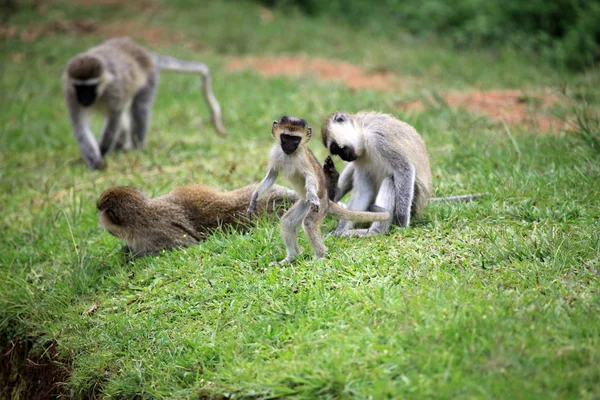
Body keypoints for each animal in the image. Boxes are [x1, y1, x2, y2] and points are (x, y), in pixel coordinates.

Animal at [63, 36, 227, 170]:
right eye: (79, 87)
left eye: (91, 87)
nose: (84, 99)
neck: (100, 94)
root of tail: (147, 54)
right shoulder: (71, 94)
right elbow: (80, 126)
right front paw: (94, 160)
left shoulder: (115, 90)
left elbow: (114, 118)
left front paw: (102, 150)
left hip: (149, 77)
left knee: (139, 108)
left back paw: (135, 147)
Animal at [247, 115, 392, 266]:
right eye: (285, 137)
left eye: (295, 139)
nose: (289, 146)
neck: (289, 156)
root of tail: (326, 200)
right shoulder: (276, 153)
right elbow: (272, 175)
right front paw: (254, 198)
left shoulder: (302, 158)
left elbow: (310, 178)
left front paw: (312, 193)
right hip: (305, 204)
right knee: (287, 222)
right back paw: (291, 258)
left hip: (319, 207)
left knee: (309, 223)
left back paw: (320, 255)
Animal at [324, 110, 482, 238]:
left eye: (338, 148)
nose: (345, 158)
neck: (363, 130)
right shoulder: (359, 158)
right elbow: (363, 192)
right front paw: (339, 230)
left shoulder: (379, 139)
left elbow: (404, 169)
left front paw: (401, 222)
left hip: (414, 204)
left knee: (391, 180)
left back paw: (376, 231)